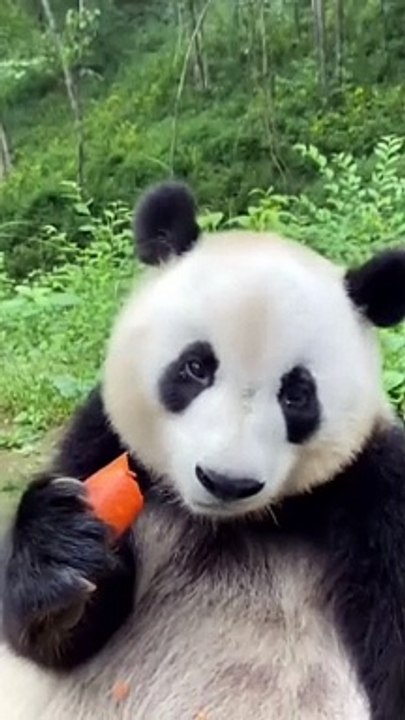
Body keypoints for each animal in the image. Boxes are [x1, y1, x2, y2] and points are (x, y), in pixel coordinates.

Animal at [1, 181, 405, 720]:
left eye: (298, 394)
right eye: (195, 367)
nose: (226, 482)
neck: (233, 524)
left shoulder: (377, 493)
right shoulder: (101, 440)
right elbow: (52, 639)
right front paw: (63, 542)